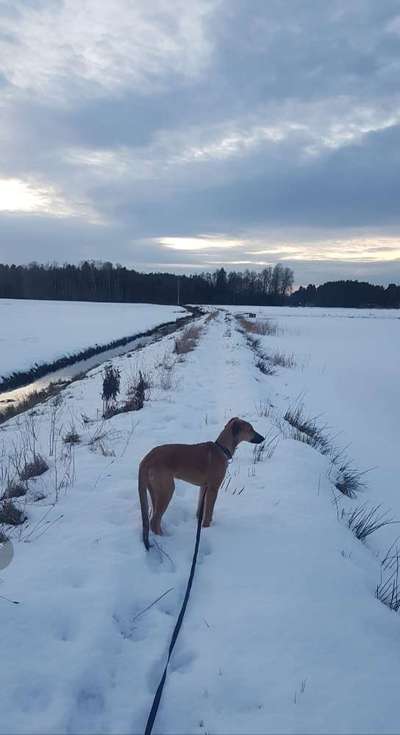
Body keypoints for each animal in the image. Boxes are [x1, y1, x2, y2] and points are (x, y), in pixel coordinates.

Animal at [139, 416, 264, 548]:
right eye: (250, 429)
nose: (263, 438)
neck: (221, 449)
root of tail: (146, 459)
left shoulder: (204, 488)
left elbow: (200, 509)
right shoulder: (213, 488)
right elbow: (208, 513)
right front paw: (207, 528)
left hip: (155, 491)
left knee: (154, 519)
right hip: (167, 491)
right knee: (154, 521)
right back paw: (166, 539)